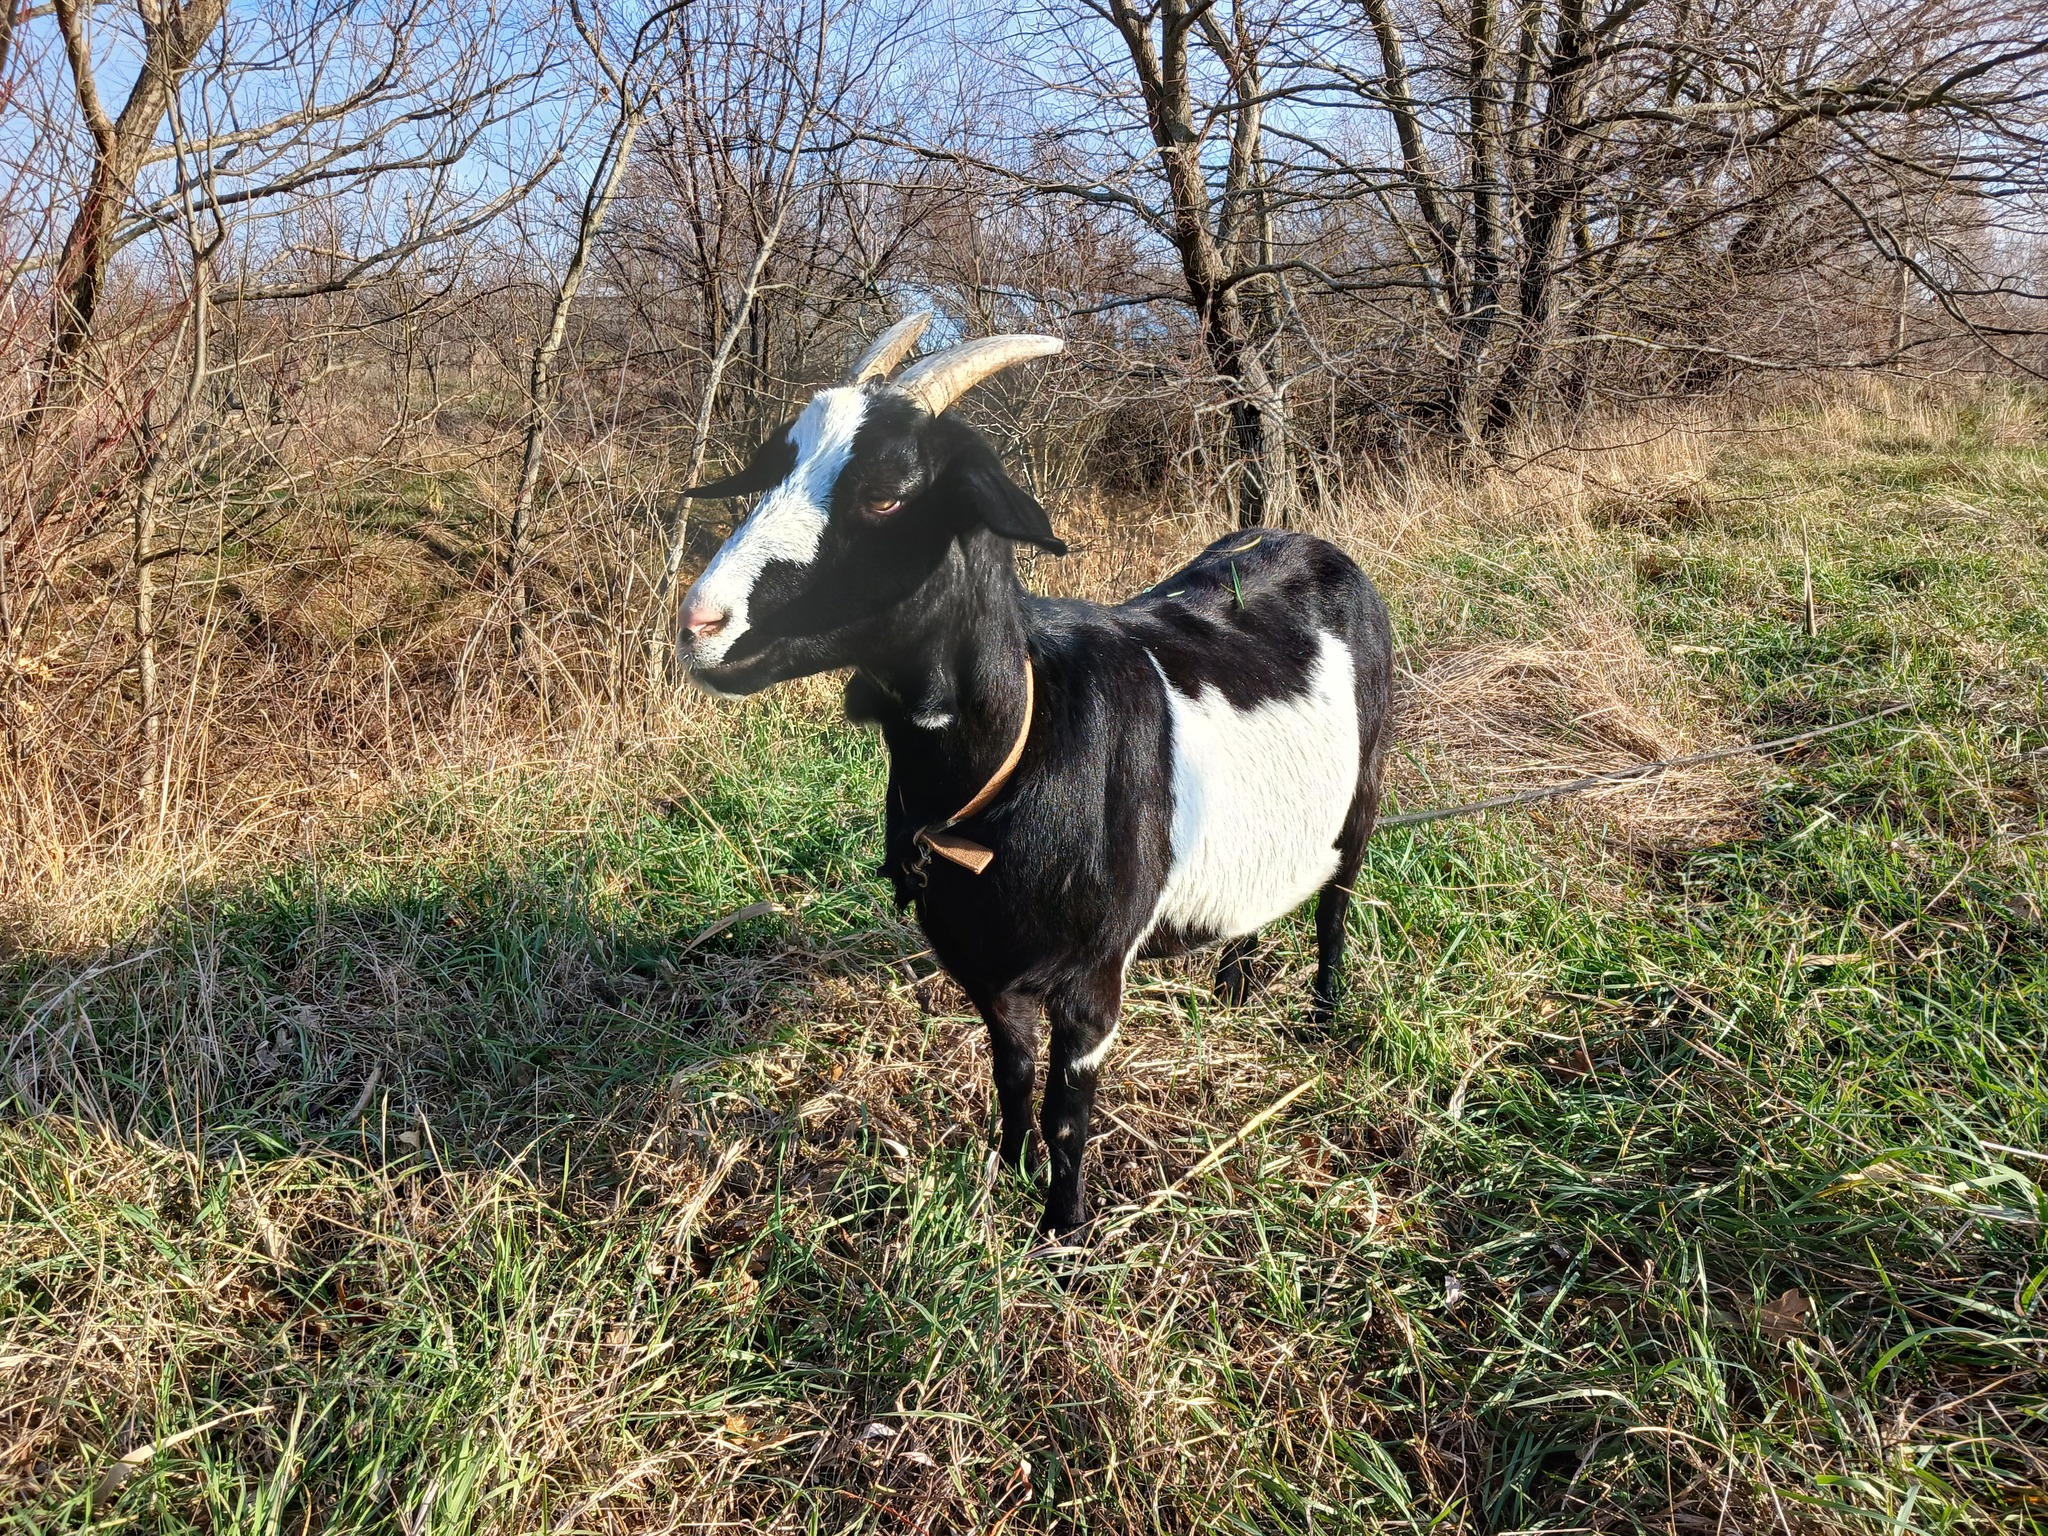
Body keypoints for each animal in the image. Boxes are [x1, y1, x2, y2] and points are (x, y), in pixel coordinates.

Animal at [679, 319, 1400, 1245]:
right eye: (772, 466)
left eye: (887, 495)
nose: (698, 624)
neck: (1013, 761)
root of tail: (1309, 543)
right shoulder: (985, 969)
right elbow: (1011, 1074)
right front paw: (1011, 1170)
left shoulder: (1092, 982)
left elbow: (1067, 1110)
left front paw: (1065, 1230)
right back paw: (1237, 976)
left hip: (1364, 793)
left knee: (1336, 902)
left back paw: (1323, 1012)